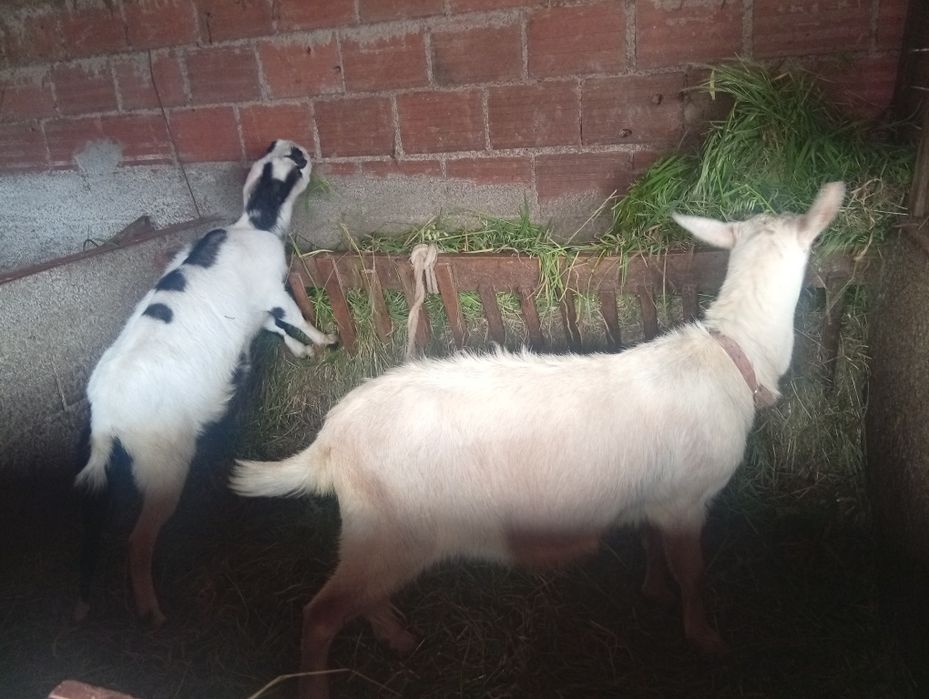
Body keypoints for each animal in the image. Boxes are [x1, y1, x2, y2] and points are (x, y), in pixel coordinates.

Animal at [73, 139, 336, 626]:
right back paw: (152, 610)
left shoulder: (256, 311)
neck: (252, 226)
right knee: (138, 540)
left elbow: (276, 328)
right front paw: (325, 340)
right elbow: (293, 317)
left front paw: (303, 352)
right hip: (162, 463)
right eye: (296, 164)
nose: (302, 149)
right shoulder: (273, 290)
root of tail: (104, 414)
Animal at [231, 183, 845, 699]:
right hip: (391, 528)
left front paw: (653, 590)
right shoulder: (686, 501)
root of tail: (330, 440)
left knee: (360, 599)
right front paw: (704, 637)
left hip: (376, 532)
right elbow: (692, 574)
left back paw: (399, 638)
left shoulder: (656, 496)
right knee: (322, 614)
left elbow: (652, 547)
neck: (732, 357)